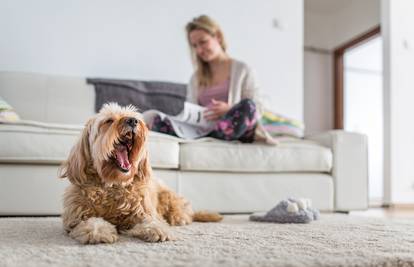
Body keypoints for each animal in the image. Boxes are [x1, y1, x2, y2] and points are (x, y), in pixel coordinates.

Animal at [59, 103, 222, 245]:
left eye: (134, 117)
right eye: (109, 121)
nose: (132, 121)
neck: (113, 184)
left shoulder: (144, 211)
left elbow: (152, 221)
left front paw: (158, 229)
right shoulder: (75, 217)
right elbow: (90, 221)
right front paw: (98, 231)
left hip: (170, 199)